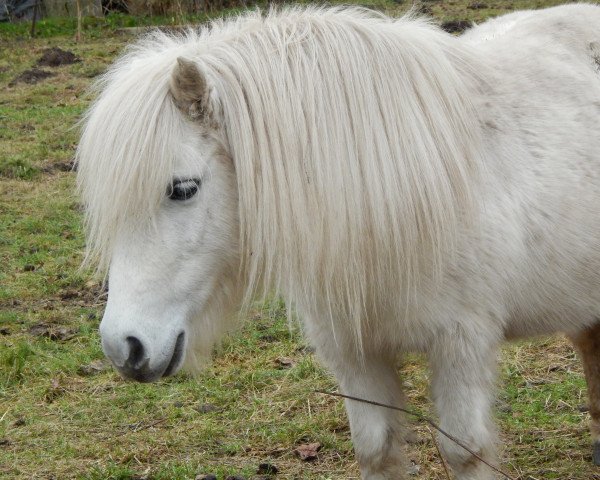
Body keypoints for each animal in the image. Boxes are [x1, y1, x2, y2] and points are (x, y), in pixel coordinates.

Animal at [76, 4, 600, 480]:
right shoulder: (353, 350)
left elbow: (462, 451)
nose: (125, 347)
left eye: (183, 188)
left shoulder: (461, 345)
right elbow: (376, 449)